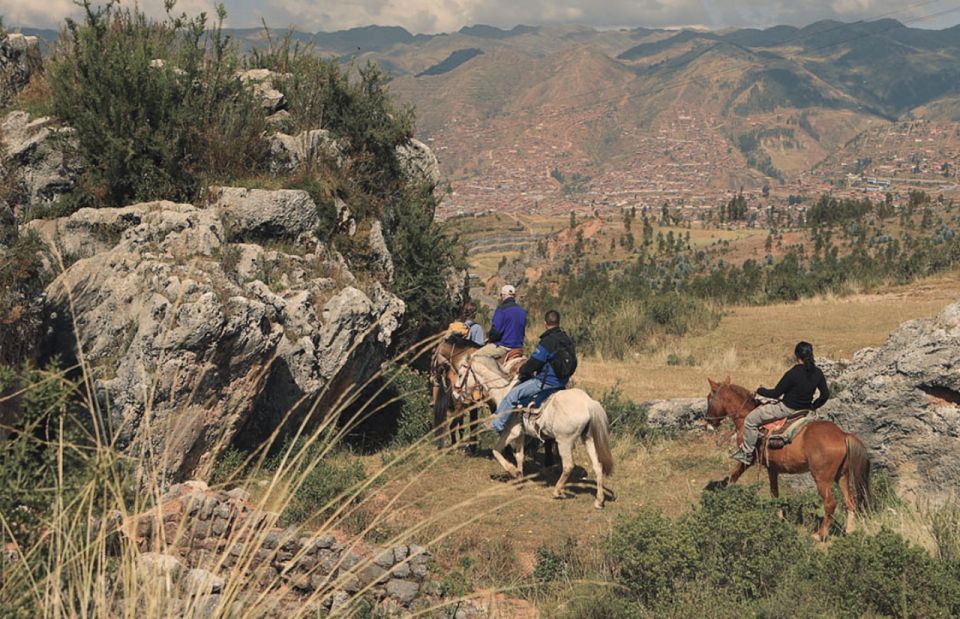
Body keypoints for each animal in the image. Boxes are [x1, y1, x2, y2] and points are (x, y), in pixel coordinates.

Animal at [460, 360, 616, 512]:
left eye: (461, 374)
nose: (458, 394)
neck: (503, 392)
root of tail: (588, 403)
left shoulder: (511, 432)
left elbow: (496, 451)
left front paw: (513, 472)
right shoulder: (521, 434)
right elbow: (519, 456)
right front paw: (519, 478)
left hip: (564, 442)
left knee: (568, 466)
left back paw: (557, 491)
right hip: (588, 439)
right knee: (597, 466)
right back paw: (599, 500)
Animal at [704, 376, 872, 540]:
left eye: (709, 398)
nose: (707, 421)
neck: (745, 416)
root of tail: (843, 435)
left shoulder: (749, 458)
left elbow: (734, 475)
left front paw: (726, 493)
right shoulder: (772, 468)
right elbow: (774, 493)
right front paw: (778, 517)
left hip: (822, 479)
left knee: (830, 504)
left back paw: (820, 534)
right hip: (842, 475)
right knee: (850, 501)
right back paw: (850, 530)